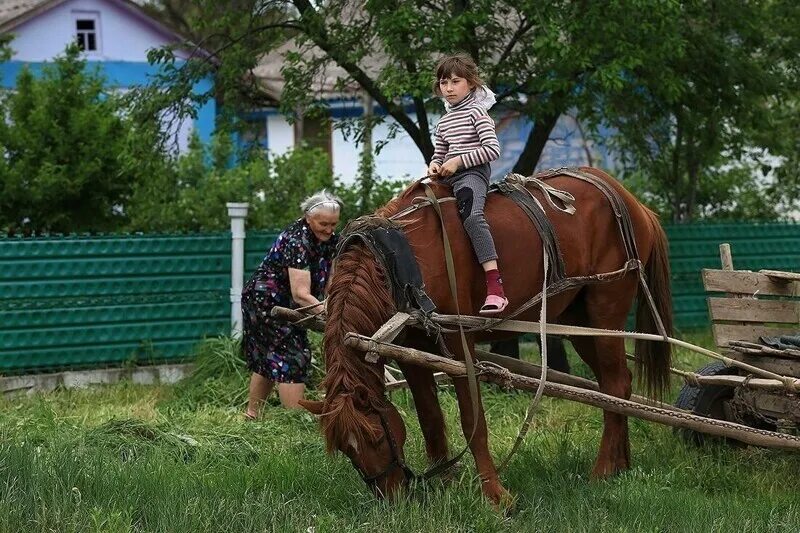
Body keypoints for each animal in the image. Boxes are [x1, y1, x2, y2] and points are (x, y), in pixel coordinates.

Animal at [300, 168, 668, 504]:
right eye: (348, 451)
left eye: (377, 437)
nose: (392, 498)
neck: (404, 259)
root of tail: (634, 203)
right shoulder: (413, 354)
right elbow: (430, 418)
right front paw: (445, 481)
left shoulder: (459, 348)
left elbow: (472, 422)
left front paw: (495, 495)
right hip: (579, 322)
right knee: (614, 387)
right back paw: (620, 463)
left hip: (606, 310)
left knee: (615, 383)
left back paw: (603, 469)